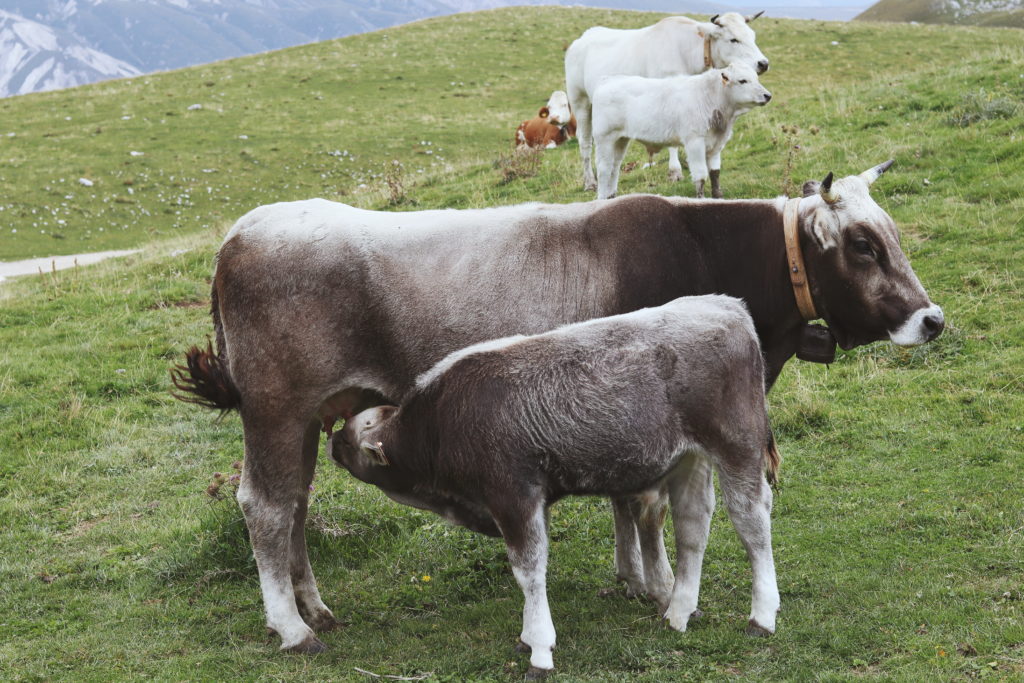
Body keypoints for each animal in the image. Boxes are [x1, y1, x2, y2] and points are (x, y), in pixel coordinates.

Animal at [331, 294, 778, 679]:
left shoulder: (513, 495)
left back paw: (762, 616)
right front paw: (529, 638)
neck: (439, 422)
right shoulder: (533, 500)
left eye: (353, 437)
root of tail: (726, 306)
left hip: (737, 446)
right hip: (689, 459)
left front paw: (539, 650)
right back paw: (679, 611)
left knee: (751, 522)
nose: (333, 441)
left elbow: (528, 570)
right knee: (692, 527)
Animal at [593, 63, 770, 200]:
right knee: (604, 169)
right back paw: (602, 198)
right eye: (742, 80)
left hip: (620, 139)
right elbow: (700, 175)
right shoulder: (694, 142)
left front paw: (718, 196)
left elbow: (715, 172)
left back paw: (612, 197)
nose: (767, 95)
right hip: (604, 138)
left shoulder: (716, 145)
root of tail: (608, 80)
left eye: (756, 78)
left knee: (615, 167)